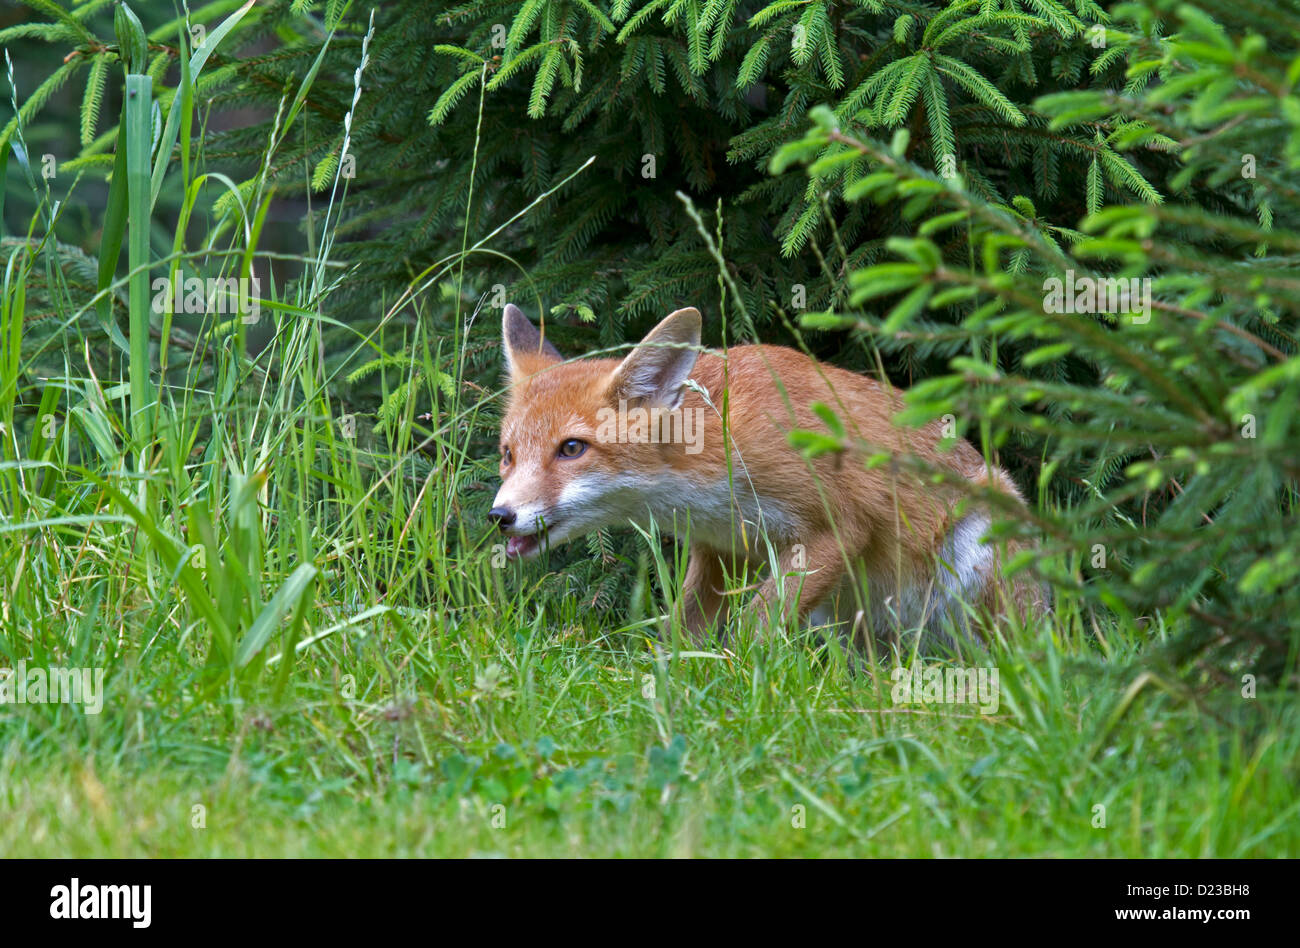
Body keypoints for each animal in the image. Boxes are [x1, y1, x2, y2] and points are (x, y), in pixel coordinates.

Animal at [488, 302, 1045, 642]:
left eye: (571, 449)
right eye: (508, 454)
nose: (500, 516)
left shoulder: (838, 528)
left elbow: (753, 628)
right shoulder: (720, 551)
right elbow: (681, 632)